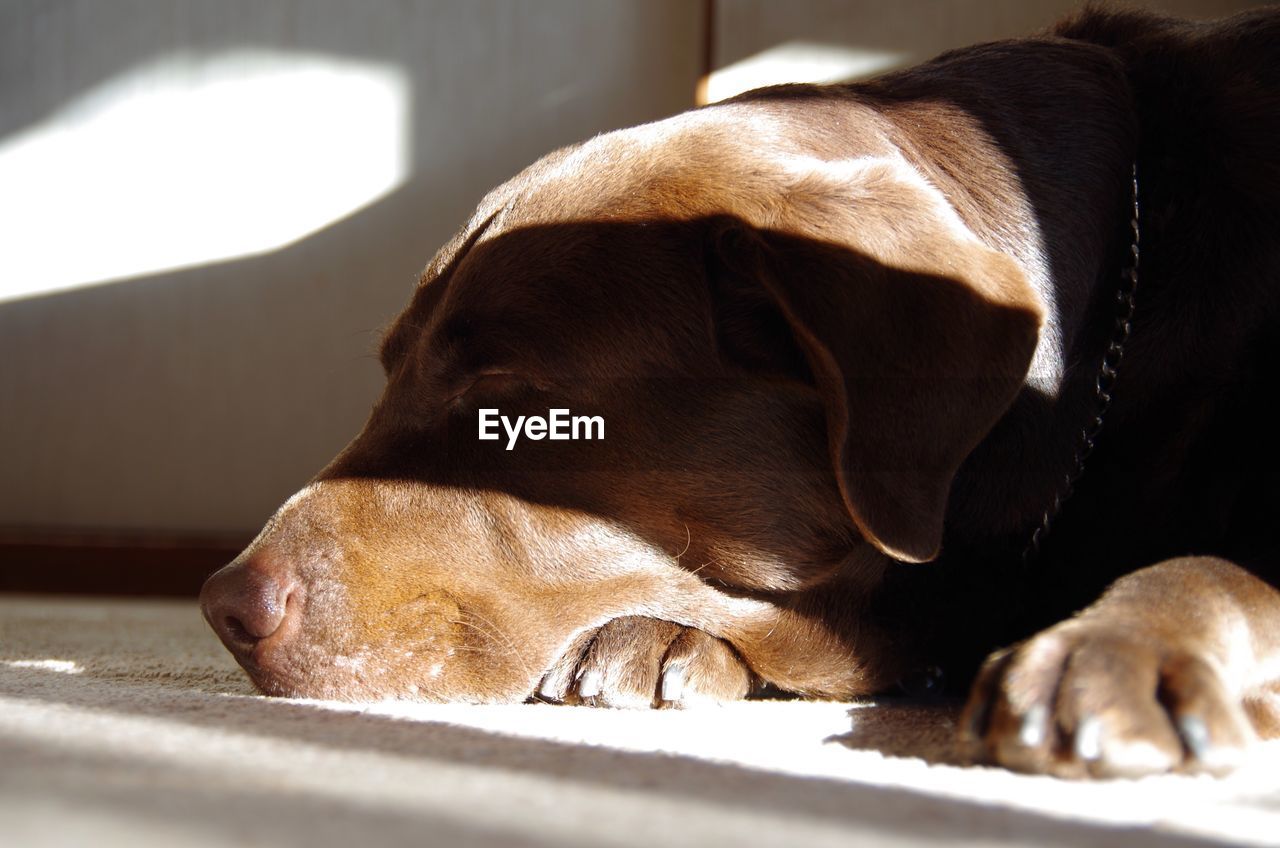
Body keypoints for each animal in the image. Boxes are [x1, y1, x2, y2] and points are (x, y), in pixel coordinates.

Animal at [199, 4, 1280, 778]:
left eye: (507, 395)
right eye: (388, 374)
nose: (223, 605)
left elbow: (1216, 568)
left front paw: (1121, 642)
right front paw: (662, 631)